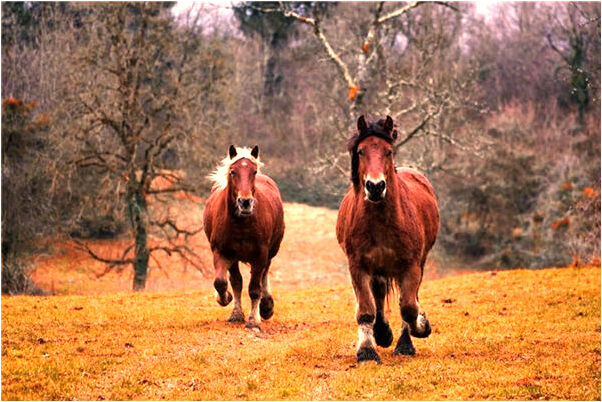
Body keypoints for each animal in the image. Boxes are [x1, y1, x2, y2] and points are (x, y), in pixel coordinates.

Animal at [203, 144, 284, 330]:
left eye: (253, 171)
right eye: (233, 171)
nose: (245, 202)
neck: (241, 223)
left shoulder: (260, 254)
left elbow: (254, 288)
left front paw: (253, 320)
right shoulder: (222, 252)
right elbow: (222, 282)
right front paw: (226, 300)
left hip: (270, 252)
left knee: (263, 275)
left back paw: (266, 307)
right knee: (236, 281)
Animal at [336, 114, 438, 362]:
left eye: (388, 151)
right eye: (361, 151)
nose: (375, 186)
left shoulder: (411, 266)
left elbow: (409, 307)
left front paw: (420, 329)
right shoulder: (358, 266)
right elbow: (366, 309)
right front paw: (367, 351)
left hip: (417, 264)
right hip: (378, 268)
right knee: (379, 295)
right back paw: (381, 333)